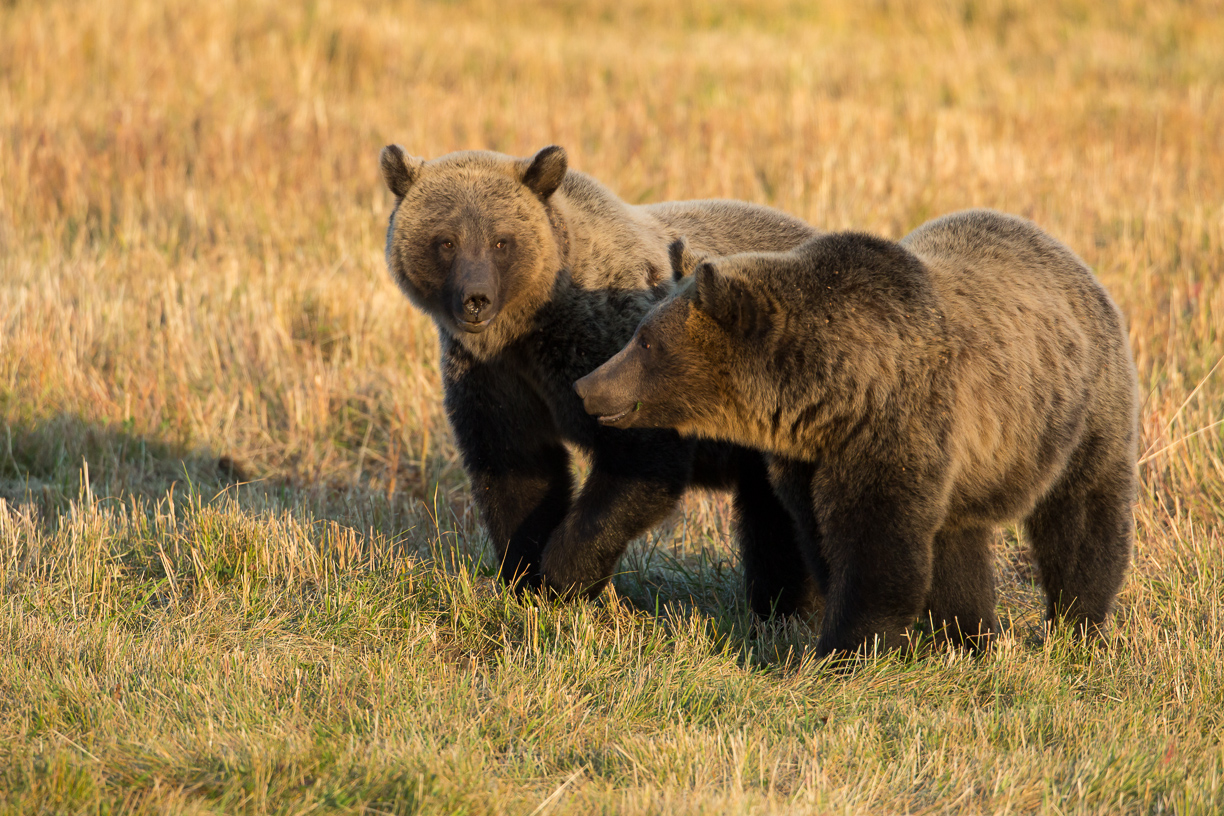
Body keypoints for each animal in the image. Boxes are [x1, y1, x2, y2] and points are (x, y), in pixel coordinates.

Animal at [379, 144, 820, 611]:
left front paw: (565, 574)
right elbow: (515, 467)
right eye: (446, 241)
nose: (476, 300)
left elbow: (640, 456)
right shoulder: (495, 377)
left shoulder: (613, 349)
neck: (529, 329)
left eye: (501, 241)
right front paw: (526, 573)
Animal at [575, 209, 1139, 656]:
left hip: (1080, 411)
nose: (588, 385)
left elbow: (876, 547)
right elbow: (822, 538)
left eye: (646, 341)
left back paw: (1076, 626)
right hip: (976, 463)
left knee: (1083, 519)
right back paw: (970, 635)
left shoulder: (897, 426)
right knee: (959, 538)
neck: (835, 394)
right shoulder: (811, 459)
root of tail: (1070, 257)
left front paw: (842, 649)